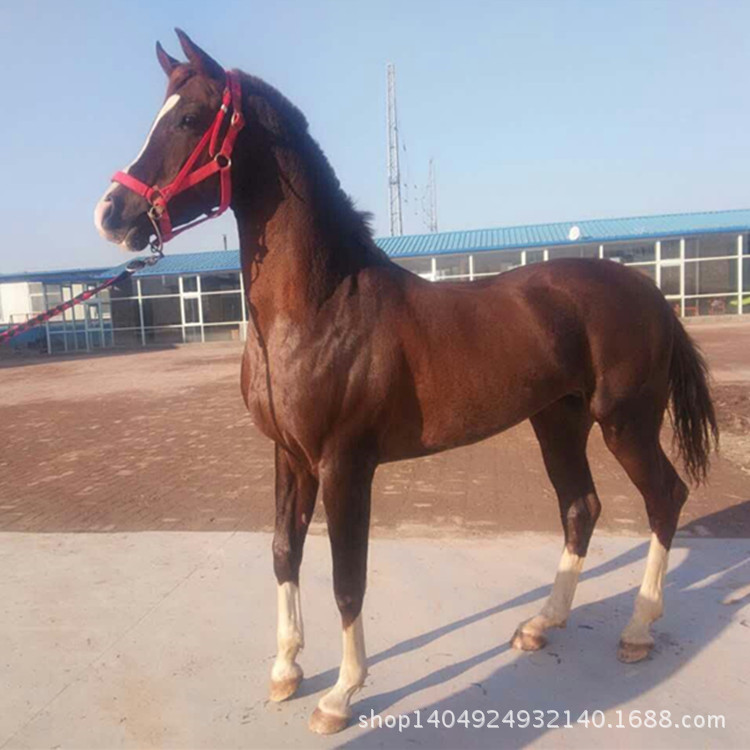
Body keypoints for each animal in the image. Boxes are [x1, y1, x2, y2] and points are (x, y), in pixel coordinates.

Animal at [94, 30, 718, 735]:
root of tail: (651, 292)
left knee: (664, 498)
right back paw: (540, 624)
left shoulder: (344, 466)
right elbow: (284, 552)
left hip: (626, 424)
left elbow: (347, 577)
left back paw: (638, 629)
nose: (111, 213)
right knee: (580, 508)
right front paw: (286, 671)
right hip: (559, 422)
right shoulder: (289, 456)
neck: (319, 307)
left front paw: (340, 695)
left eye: (191, 118)